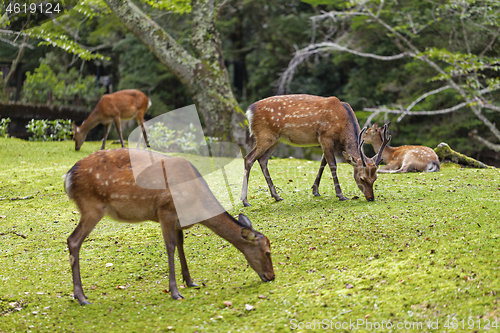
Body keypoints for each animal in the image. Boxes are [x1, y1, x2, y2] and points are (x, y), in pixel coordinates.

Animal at [65, 148, 276, 304]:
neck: (195, 203)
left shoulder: (178, 221)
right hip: (92, 206)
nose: (272, 276)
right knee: (73, 240)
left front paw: (190, 282)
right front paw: (175, 292)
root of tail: (68, 177)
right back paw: (81, 297)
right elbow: (171, 247)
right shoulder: (165, 211)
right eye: (267, 252)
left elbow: (181, 246)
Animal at [241, 93, 390, 206]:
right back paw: (245, 201)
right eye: (362, 178)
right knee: (248, 158)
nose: (371, 198)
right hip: (264, 135)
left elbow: (323, 162)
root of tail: (249, 112)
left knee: (262, 160)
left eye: (375, 177)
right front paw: (340, 195)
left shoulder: (326, 142)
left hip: (275, 139)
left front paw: (315, 190)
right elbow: (332, 164)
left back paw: (276, 196)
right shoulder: (325, 136)